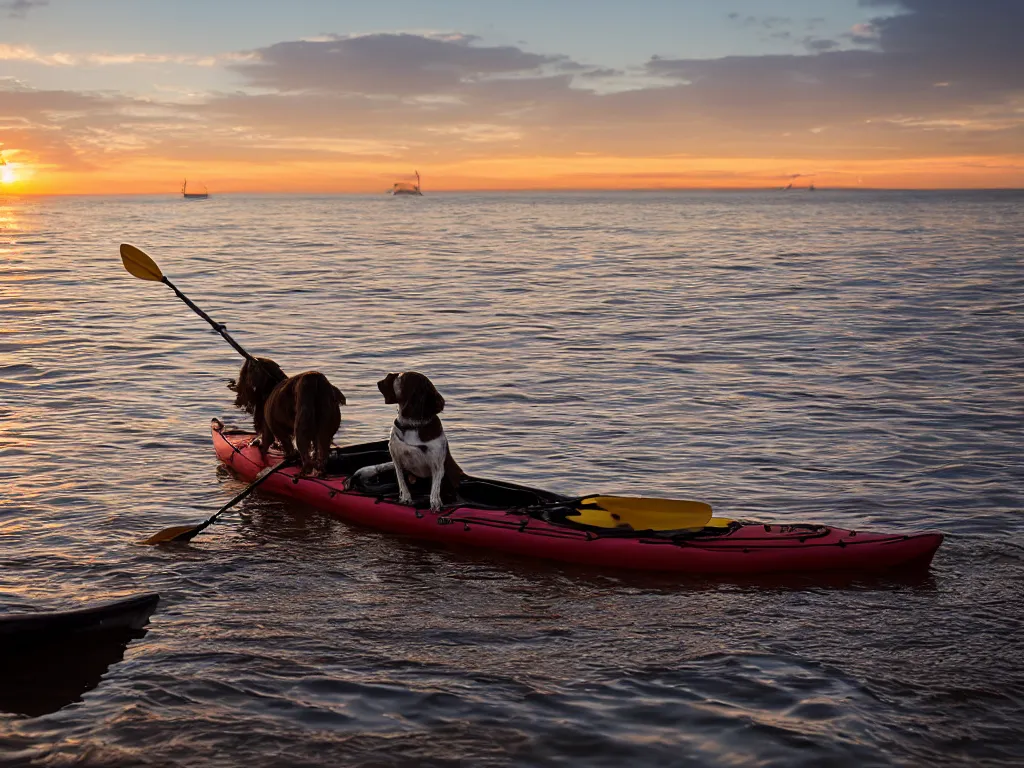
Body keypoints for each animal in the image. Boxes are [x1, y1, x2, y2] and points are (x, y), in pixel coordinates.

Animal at [350, 370, 466, 512]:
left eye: (401, 377)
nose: (388, 374)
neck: (411, 425)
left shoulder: (437, 465)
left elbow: (435, 489)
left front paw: (435, 504)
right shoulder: (397, 459)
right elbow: (402, 483)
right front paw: (405, 499)